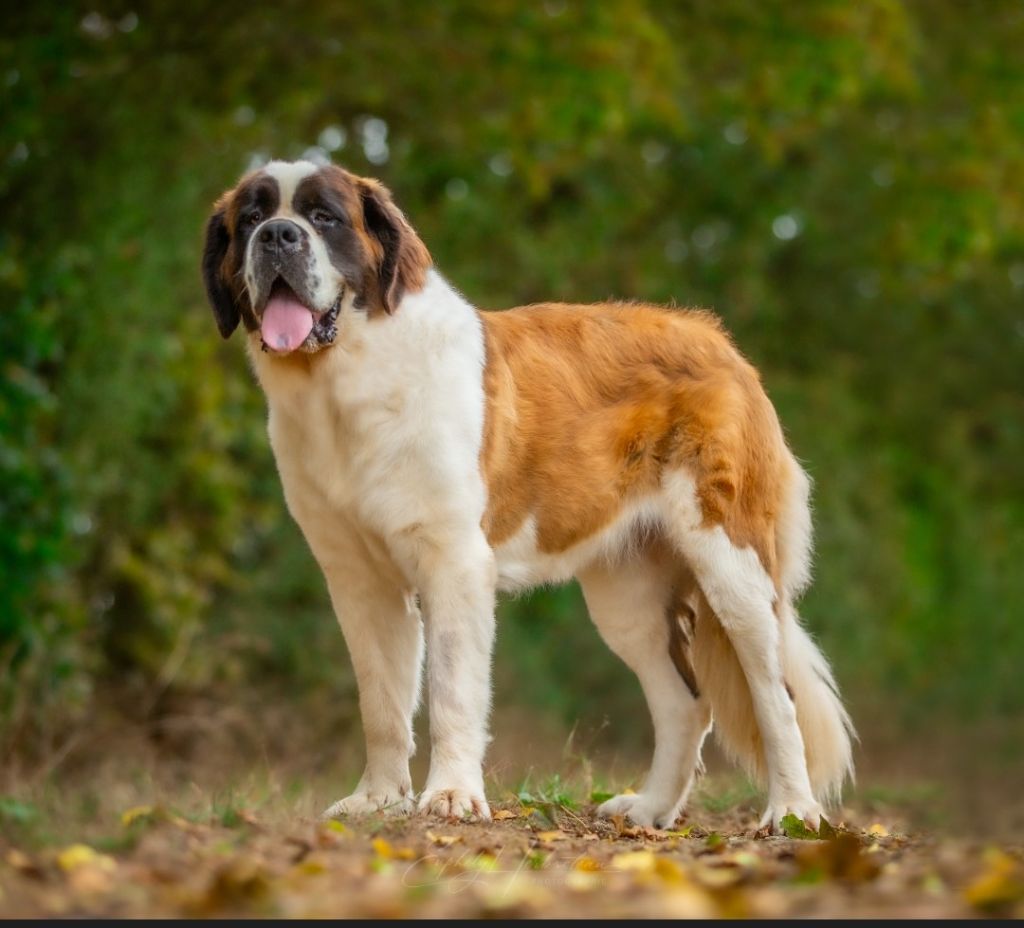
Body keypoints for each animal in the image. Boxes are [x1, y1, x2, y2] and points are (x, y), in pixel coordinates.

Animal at [201, 155, 856, 827]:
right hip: (628, 597)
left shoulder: (454, 560)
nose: (278, 236)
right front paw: (377, 799)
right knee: (685, 702)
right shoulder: (359, 579)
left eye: (323, 217)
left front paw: (451, 796)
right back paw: (648, 809)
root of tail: (717, 339)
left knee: (776, 697)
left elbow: (451, 690)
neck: (343, 384)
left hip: (734, 569)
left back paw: (793, 811)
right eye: (250, 218)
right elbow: (381, 700)